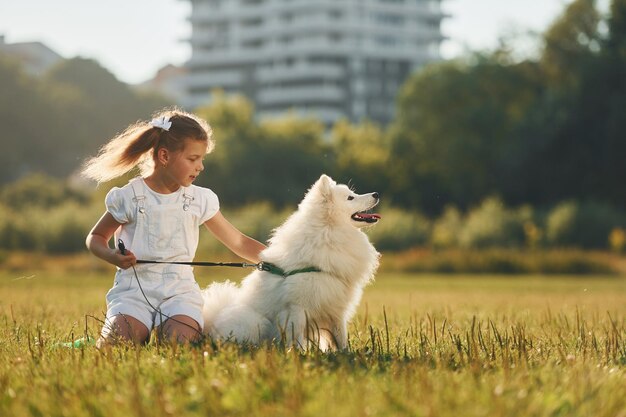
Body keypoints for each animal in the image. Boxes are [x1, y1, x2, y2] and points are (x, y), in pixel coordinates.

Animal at [202, 174, 378, 350]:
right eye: (350, 197)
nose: (376, 194)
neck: (328, 232)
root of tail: (212, 323)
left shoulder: (336, 308)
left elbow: (340, 337)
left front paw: (345, 353)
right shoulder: (296, 307)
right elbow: (296, 334)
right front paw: (297, 352)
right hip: (256, 321)